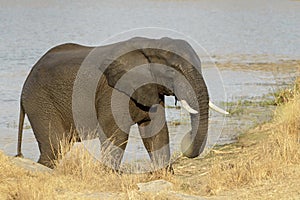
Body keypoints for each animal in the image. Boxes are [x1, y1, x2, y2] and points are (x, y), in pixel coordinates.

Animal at [15, 36, 227, 170]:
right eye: (171, 72)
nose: (187, 137)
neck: (151, 44)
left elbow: (156, 131)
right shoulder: (113, 90)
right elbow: (116, 134)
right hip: (39, 102)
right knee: (54, 147)